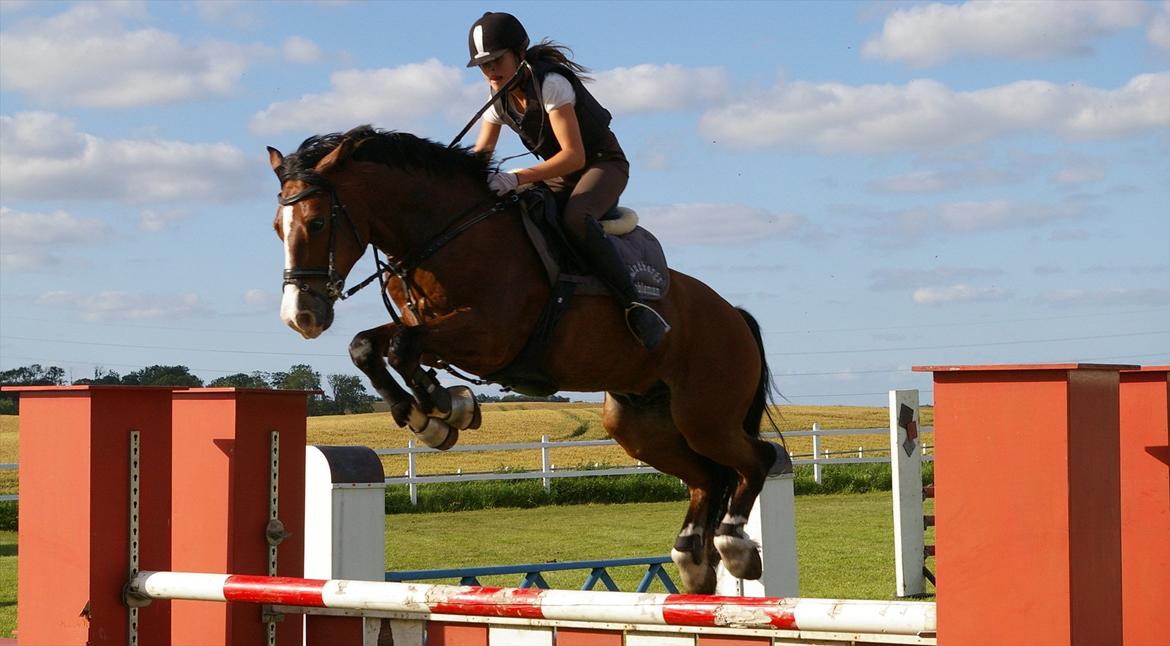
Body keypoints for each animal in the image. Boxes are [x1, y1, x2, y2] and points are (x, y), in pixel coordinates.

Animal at [269, 126, 790, 594]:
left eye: (317, 223)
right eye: (277, 228)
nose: (301, 316)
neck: (444, 234)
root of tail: (735, 315)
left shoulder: (491, 336)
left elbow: (400, 348)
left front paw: (445, 408)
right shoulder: (428, 328)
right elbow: (368, 346)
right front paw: (431, 415)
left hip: (704, 415)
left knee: (756, 460)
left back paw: (734, 547)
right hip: (639, 424)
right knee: (707, 477)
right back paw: (692, 560)